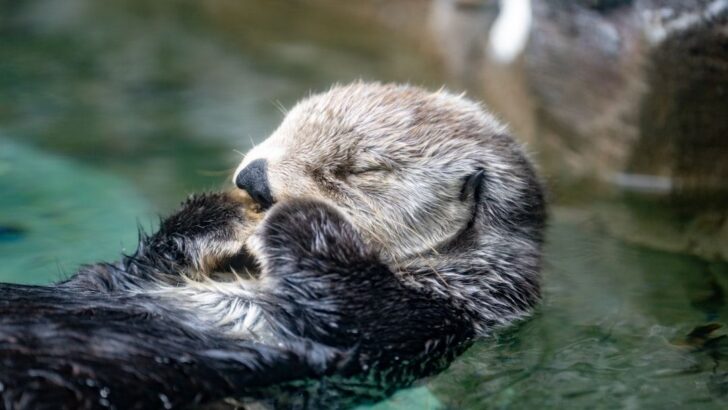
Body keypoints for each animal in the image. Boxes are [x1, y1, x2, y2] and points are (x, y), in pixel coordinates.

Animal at [0, 82, 545, 409]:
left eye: (359, 170)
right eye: (284, 127)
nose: (253, 180)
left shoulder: (424, 322)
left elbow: (346, 304)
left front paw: (294, 216)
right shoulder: (130, 277)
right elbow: (129, 268)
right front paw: (224, 217)